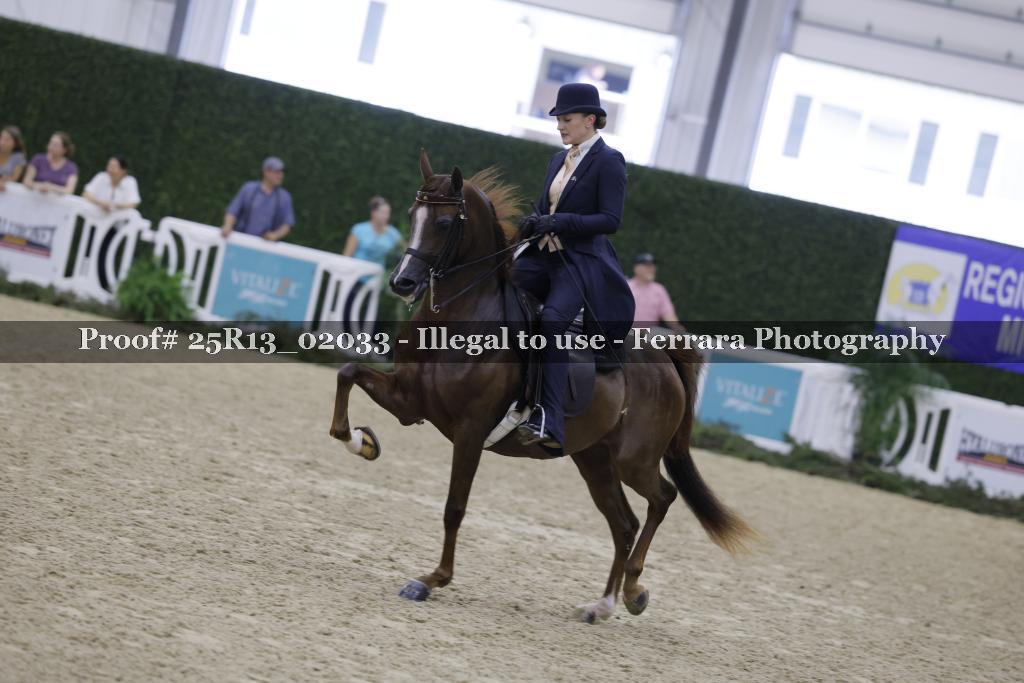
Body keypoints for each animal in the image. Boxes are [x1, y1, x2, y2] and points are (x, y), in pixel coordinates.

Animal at [329, 150, 753, 623]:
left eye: (444, 222)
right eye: (410, 214)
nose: (402, 282)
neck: (460, 316)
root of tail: (662, 357)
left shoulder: (470, 431)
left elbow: (454, 507)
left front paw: (431, 579)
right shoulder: (409, 402)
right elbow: (347, 374)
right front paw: (362, 442)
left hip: (633, 460)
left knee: (663, 498)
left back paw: (633, 590)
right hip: (594, 458)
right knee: (623, 523)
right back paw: (602, 605)